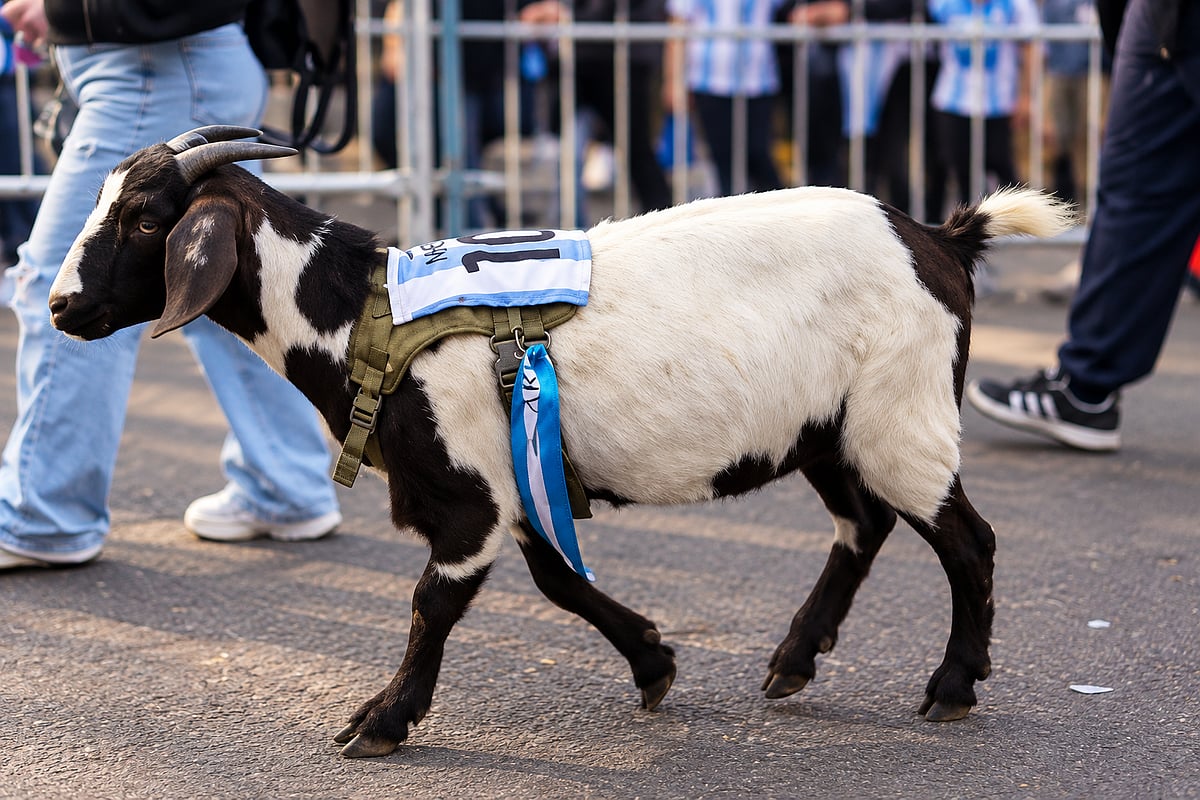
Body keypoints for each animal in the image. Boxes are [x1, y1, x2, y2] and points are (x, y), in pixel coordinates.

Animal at [48, 126, 1073, 758]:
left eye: (147, 219)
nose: (60, 307)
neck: (361, 311)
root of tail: (943, 238)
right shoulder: (515, 472)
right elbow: (558, 580)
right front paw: (654, 662)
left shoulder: (465, 495)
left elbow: (433, 604)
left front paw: (381, 720)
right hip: (829, 429)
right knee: (864, 525)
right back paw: (794, 659)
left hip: (902, 414)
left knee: (966, 541)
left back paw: (951, 684)